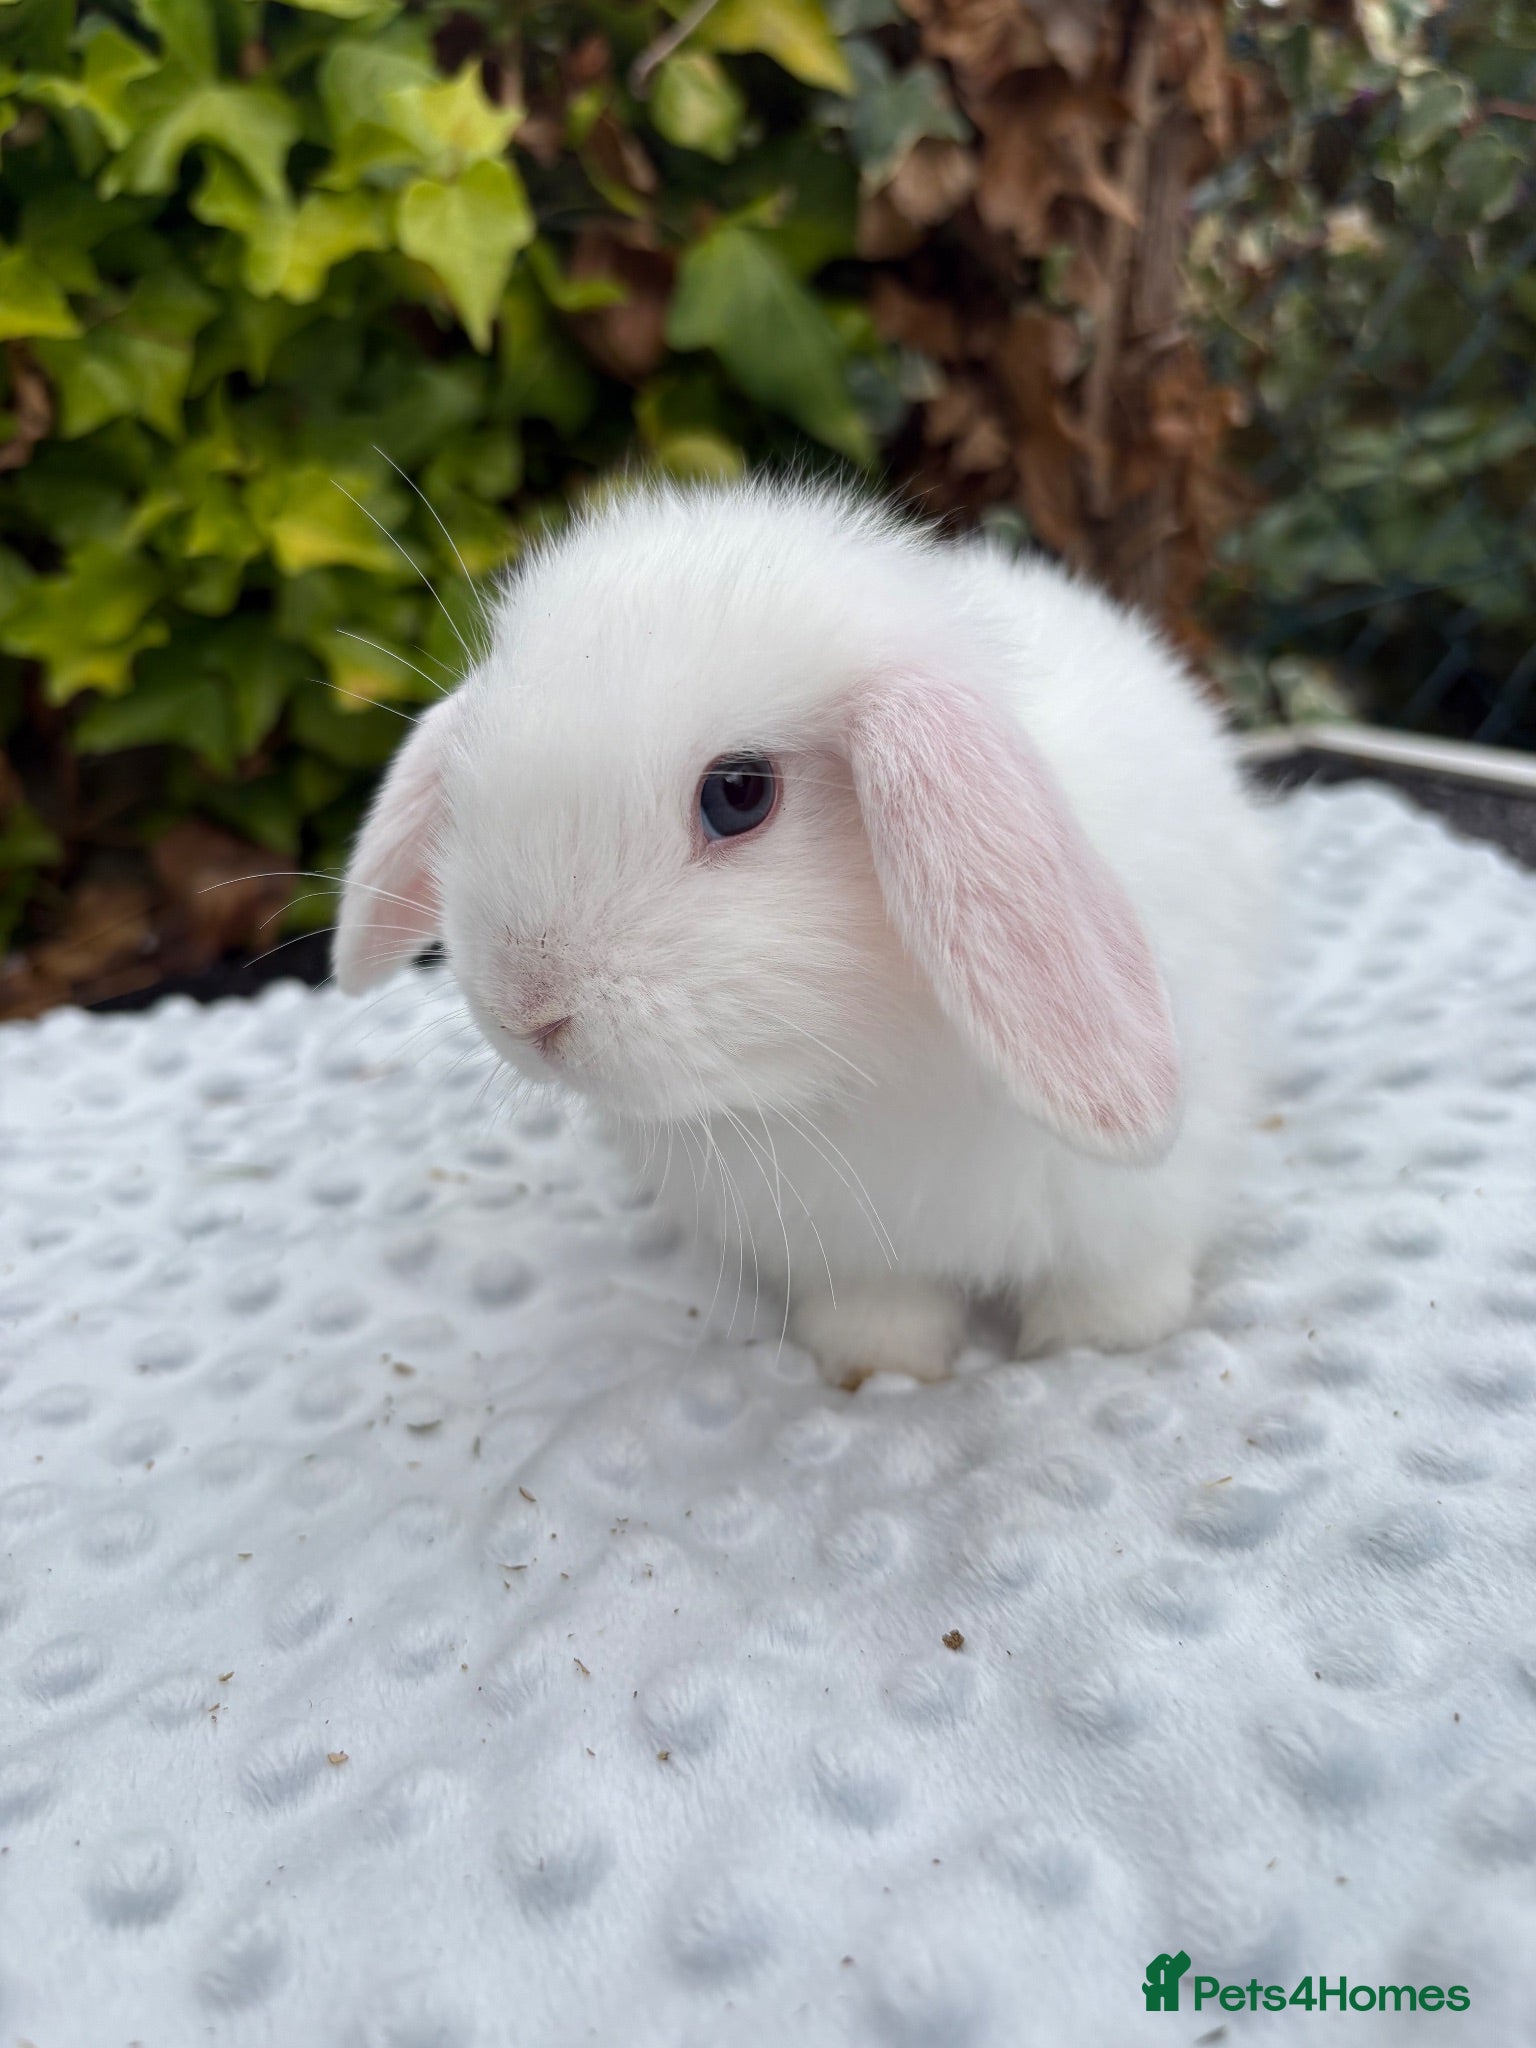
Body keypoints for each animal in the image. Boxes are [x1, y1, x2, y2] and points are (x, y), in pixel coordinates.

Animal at [335, 478, 1271, 1389]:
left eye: (739, 793)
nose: (527, 1011)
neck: (863, 1065)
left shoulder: (1130, 1209)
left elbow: (1113, 1280)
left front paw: (1102, 1345)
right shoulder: (855, 1250)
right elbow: (883, 1309)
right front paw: (876, 1363)